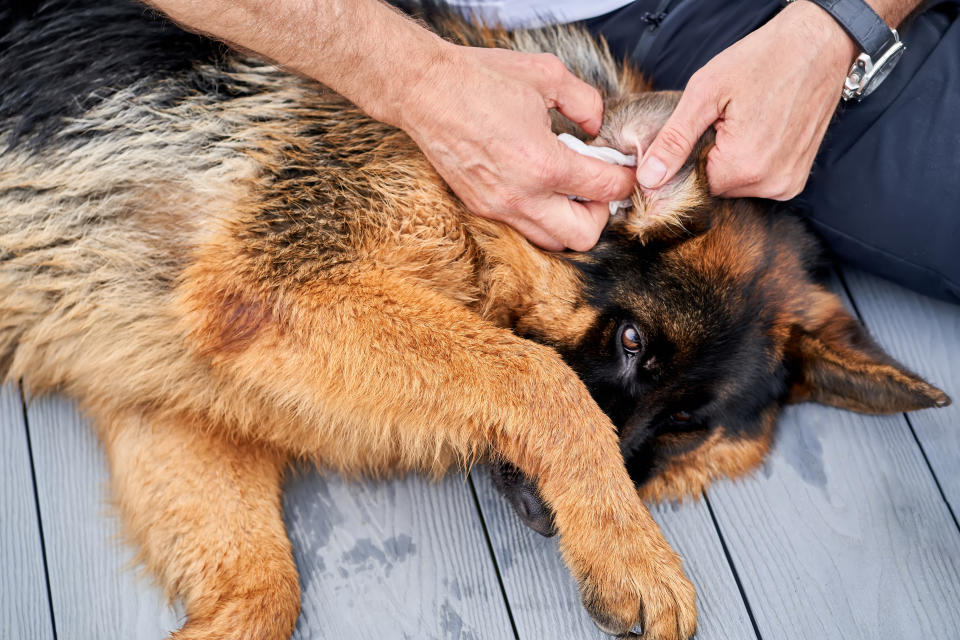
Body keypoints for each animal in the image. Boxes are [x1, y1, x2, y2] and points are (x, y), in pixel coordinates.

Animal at [0, 1, 944, 640]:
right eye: (630, 341)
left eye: (684, 426)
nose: (546, 516)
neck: (472, 225)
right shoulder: (279, 288)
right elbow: (541, 378)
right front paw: (631, 551)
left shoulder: (174, 407)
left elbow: (264, 590)